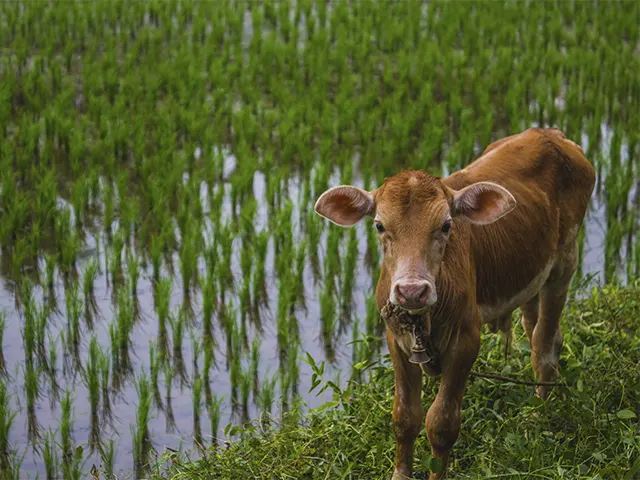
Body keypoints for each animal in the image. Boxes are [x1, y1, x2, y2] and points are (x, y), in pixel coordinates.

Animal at [314, 128, 596, 480]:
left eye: (446, 225)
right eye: (380, 226)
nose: (412, 291)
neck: (424, 318)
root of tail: (550, 134)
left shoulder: (466, 341)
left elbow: (441, 424)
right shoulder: (396, 341)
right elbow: (405, 417)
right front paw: (400, 473)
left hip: (564, 267)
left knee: (543, 346)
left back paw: (539, 411)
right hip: (531, 274)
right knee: (543, 335)